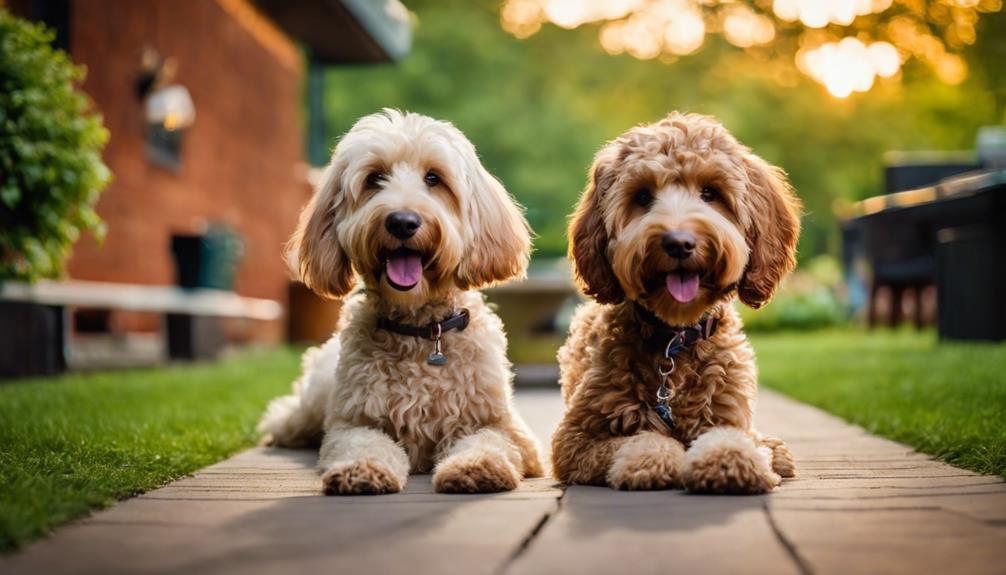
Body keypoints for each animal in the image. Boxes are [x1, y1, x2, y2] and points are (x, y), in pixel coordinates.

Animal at [259, 109, 543, 494]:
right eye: (375, 178)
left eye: (434, 178)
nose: (402, 221)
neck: (421, 331)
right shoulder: (353, 423)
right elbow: (363, 443)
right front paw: (361, 470)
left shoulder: (503, 427)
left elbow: (488, 441)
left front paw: (477, 466)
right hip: (310, 405)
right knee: (287, 416)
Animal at [551, 112, 800, 494]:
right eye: (642, 196)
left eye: (710, 192)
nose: (678, 243)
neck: (674, 340)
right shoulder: (574, 441)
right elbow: (639, 440)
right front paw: (652, 460)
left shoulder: (727, 414)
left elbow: (733, 439)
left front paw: (731, 460)